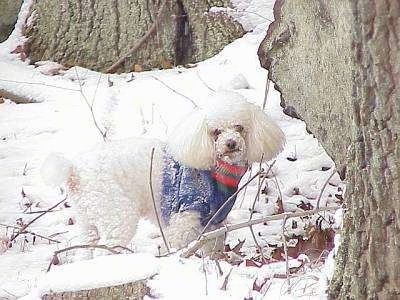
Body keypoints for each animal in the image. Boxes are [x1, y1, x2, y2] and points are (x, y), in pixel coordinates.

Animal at [43, 91, 286, 255]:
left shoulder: (214, 221)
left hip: (89, 218)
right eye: (215, 132)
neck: (217, 170)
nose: (231, 143)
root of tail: (74, 171)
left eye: (239, 128)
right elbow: (181, 244)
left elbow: (212, 247)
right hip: (116, 212)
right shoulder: (184, 216)